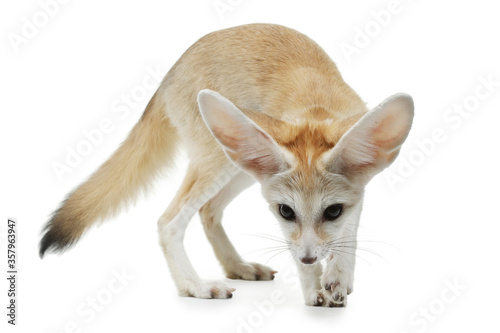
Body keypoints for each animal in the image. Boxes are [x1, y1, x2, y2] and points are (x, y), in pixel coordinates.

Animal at [40, 23, 414, 306]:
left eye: (333, 211)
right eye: (286, 212)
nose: (310, 258)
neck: (315, 107)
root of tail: (173, 68)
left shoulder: (359, 192)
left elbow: (348, 234)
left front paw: (338, 275)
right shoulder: (288, 223)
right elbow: (299, 248)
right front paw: (313, 288)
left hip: (240, 168)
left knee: (208, 212)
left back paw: (237, 266)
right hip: (216, 165)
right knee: (168, 221)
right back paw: (194, 286)